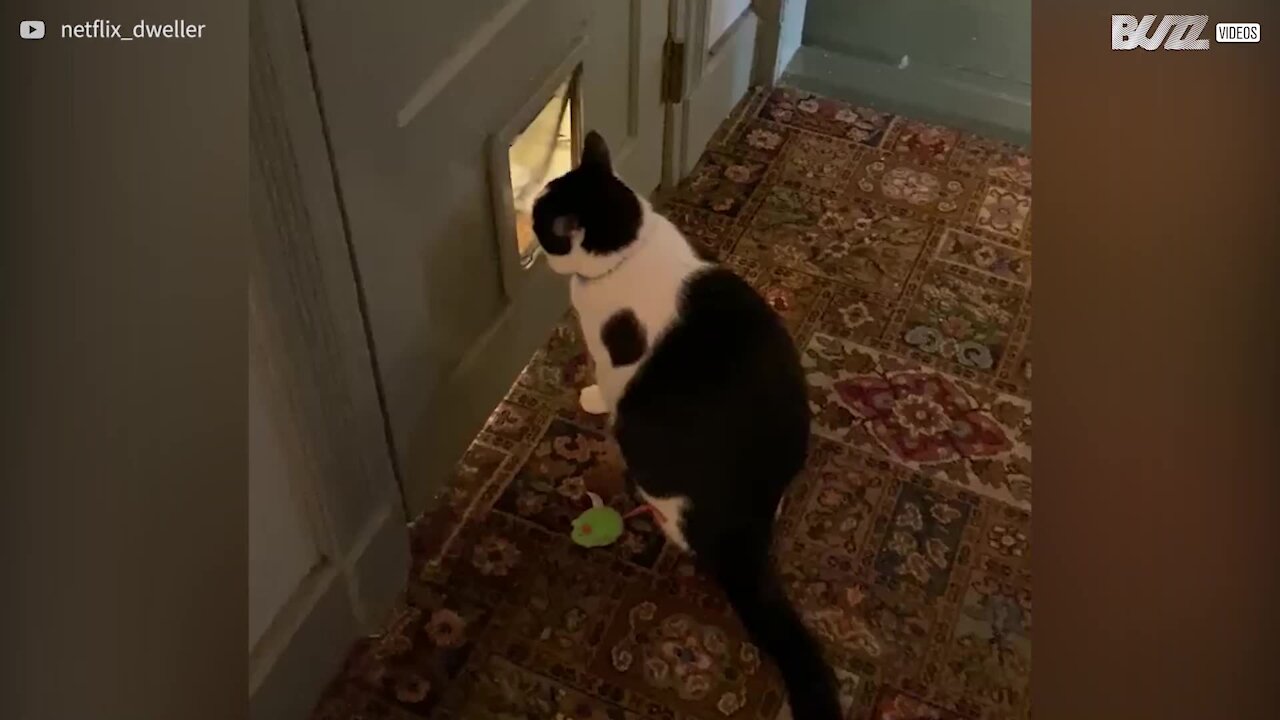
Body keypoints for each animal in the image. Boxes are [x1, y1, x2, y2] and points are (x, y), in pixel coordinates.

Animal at [529, 131, 839, 712]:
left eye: (541, 221)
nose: (533, 244)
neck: (628, 248)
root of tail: (746, 527)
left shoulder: (614, 359)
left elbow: (604, 384)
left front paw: (590, 398)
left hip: (651, 456)